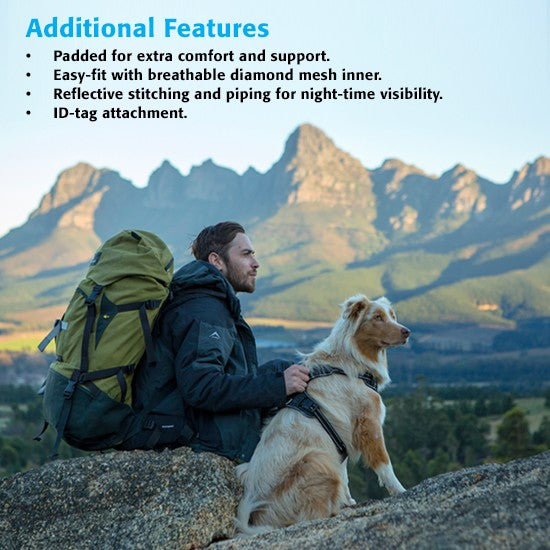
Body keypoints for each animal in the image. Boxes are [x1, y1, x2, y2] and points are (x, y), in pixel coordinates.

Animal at [235, 298, 412, 536]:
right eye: (377, 317)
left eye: (392, 316)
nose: (407, 332)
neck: (351, 359)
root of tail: (256, 519)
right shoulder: (368, 425)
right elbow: (385, 465)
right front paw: (400, 491)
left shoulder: (341, 439)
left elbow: (345, 475)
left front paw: (348, 501)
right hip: (317, 460)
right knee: (309, 516)